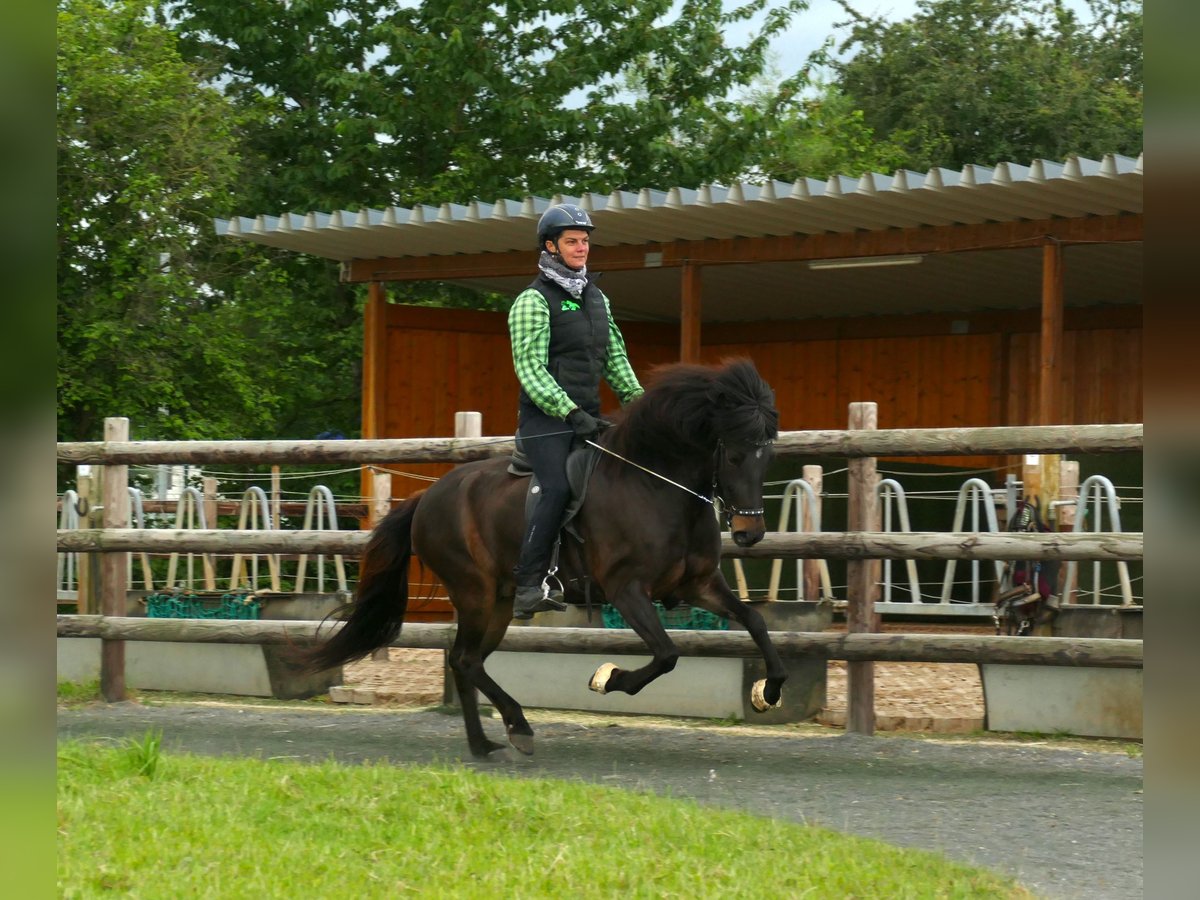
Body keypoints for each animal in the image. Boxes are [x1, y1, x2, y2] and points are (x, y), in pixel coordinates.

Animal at [300, 355, 787, 758]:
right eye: (735, 454)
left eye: (767, 457)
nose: (750, 534)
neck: (655, 487)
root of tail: (427, 497)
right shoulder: (627, 589)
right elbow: (666, 654)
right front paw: (608, 678)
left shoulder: (699, 584)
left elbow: (755, 621)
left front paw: (770, 691)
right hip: (474, 594)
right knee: (465, 659)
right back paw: (515, 729)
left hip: (499, 602)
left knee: (468, 661)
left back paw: (486, 742)